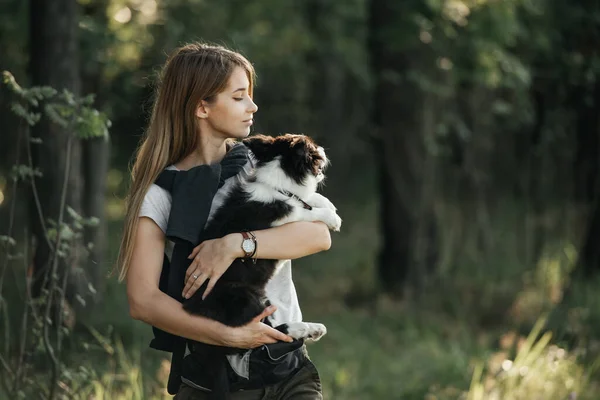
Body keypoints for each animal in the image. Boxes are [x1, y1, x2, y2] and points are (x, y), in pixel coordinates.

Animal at [183, 133, 342, 340]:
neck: (278, 186)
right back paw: (307, 329)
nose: (323, 148)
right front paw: (332, 218)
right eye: (313, 149)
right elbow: (305, 211)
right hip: (243, 297)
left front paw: (327, 203)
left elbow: (305, 199)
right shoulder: (282, 217)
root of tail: (191, 304)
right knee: (270, 330)